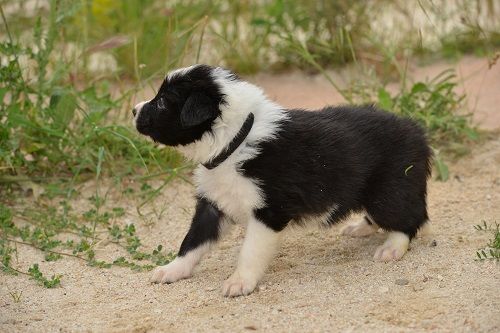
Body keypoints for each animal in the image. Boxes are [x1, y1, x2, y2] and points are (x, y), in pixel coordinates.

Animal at [132, 64, 430, 296]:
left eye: (161, 102)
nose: (134, 110)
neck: (236, 141)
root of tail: (416, 129)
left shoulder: (268, 211)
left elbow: (250, 251)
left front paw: (240, 281)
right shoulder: (212, 205)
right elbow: (192, 242)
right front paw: (172, 270)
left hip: (389, 190)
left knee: (410, 219)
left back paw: (392, 247)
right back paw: (361, 227)